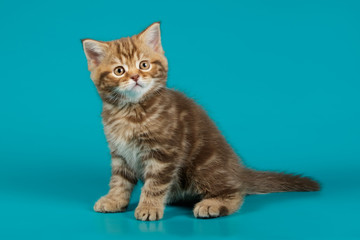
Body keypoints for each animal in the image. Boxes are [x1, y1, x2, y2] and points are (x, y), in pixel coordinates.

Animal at [80, 22, 320, 221]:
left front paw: (148, 206)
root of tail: (238, 170)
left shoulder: (164, 153)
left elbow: (155, 184)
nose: (135, 77)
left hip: (204, 165)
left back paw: (213, 204)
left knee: (235, 191)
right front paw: (115, 200)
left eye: (144, 65)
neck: (130, 112)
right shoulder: (119, 153)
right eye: (119, 70)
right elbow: (119, 180)